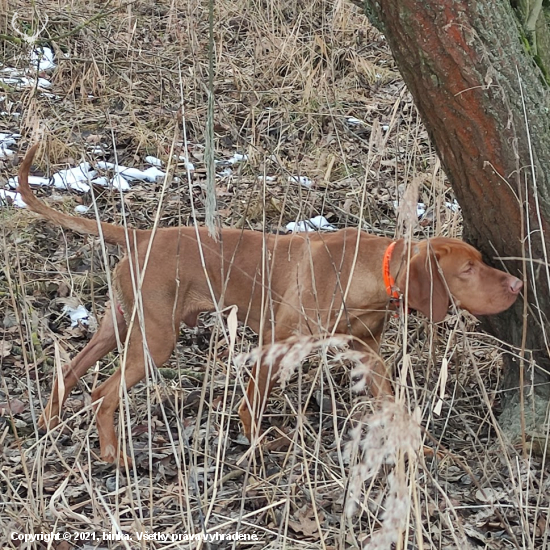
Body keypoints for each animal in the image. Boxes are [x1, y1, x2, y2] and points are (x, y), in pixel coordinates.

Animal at [17, 144, 524, 464]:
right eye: (468, 269)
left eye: (482, 261)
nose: (518, 283)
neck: (364, 272)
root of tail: (140, 236)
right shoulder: (276, 343)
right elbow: (252, 403)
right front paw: (257, 443)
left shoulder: (369, 355)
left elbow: (395, 406)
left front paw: (423, 449)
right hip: (154, 339)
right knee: (102, 393)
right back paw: (111, 454)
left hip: (119, 324)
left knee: (70, 369)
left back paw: (48, 422)